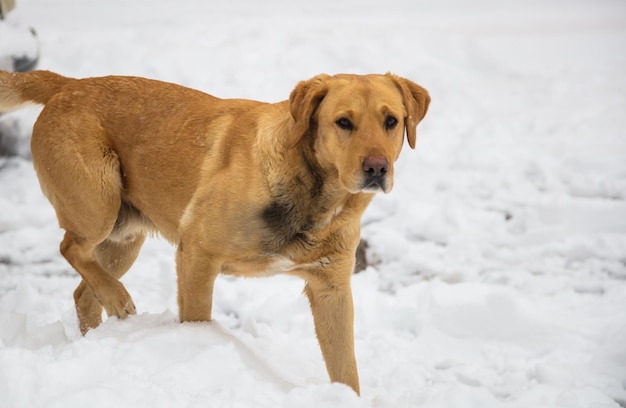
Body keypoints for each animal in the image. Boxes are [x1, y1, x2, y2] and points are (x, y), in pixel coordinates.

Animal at [0, 71, 426, 396]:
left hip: (124, 239)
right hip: (98, 204)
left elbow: (346, 370)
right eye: (343, 122)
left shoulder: (331, 288)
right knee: (69, 247)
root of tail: (67, 84)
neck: (315, 195)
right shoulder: (197, 255)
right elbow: (197, 319)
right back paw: (118, 298)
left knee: (83, 293)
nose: (377, 168)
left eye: (391, 121)